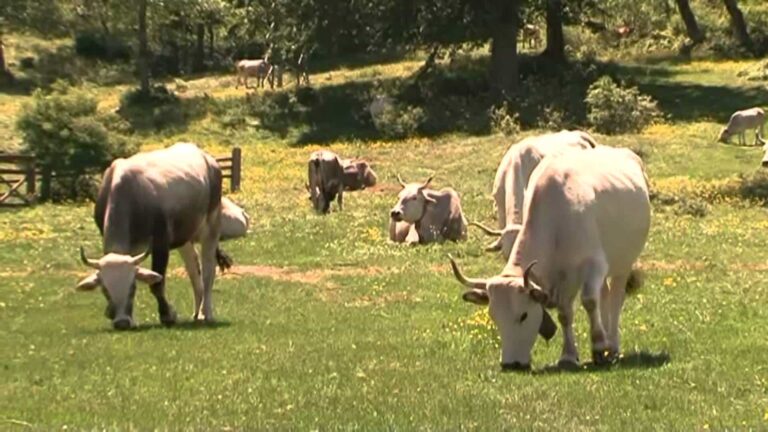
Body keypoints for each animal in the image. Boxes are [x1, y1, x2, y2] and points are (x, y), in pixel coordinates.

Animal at [77, 143, 224, 330]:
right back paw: (197, 314)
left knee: (208, 270)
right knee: (193, 268)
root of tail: (207, 158)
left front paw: (168, 315)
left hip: (211, 226)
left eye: (132, 287)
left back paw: (207, 314)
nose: (122, 323)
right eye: (105, 289)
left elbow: (157, 284)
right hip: (184, 238)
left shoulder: (161, 245)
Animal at [448, 147, 652, 370]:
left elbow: (589, 301)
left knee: (615, 299)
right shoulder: (563, 277)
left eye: (524, 315)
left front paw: (598, 347)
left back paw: (612, 345)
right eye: (494, 316)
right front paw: (569, 356)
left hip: (622, 264)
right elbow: (565, 314)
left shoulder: (594, 264)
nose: (510, 364)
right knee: (604, 296)